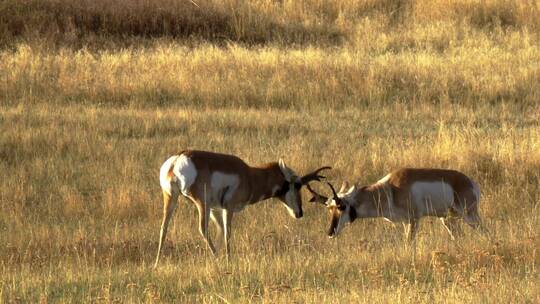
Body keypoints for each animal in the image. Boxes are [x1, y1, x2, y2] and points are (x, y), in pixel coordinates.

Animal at [152, 150, 330, 266]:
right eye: (298, 184)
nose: (299, 213)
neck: (249, 174)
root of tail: (178, 159)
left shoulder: (216, 209)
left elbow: (220, 230)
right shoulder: (228, 208)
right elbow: (227, 233)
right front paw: (227, 260)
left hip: (171, 198)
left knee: (163, 228)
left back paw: (156, 263)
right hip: (202, 204)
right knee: (202, 228)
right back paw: (217, 259)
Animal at [308, 169, 486, 240]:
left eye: (342, 206)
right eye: (329, 209)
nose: (330, 233)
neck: (390, 188)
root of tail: (470, 182)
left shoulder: (414, 220)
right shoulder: (406, 223)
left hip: (470, 217)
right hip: (448, 220)